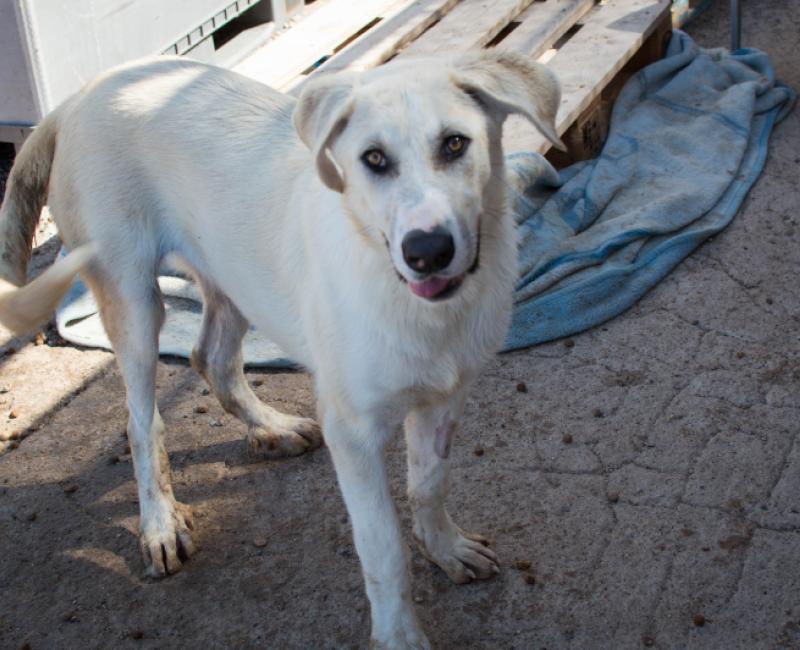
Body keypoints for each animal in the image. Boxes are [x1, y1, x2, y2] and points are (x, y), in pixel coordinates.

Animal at [0, 49, 562, 648]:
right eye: (373, 159)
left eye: (455, 144)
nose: (427, 251)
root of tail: (76, 97)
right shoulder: (353, 434)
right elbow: (383, 550)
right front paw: (399, 635)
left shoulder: (445, 396)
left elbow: (430, 485)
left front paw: (446, 548)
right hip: (130, 292)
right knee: (141, 420)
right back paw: (160, 522)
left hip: (231, 275)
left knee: (212, 359)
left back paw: (272, 427)